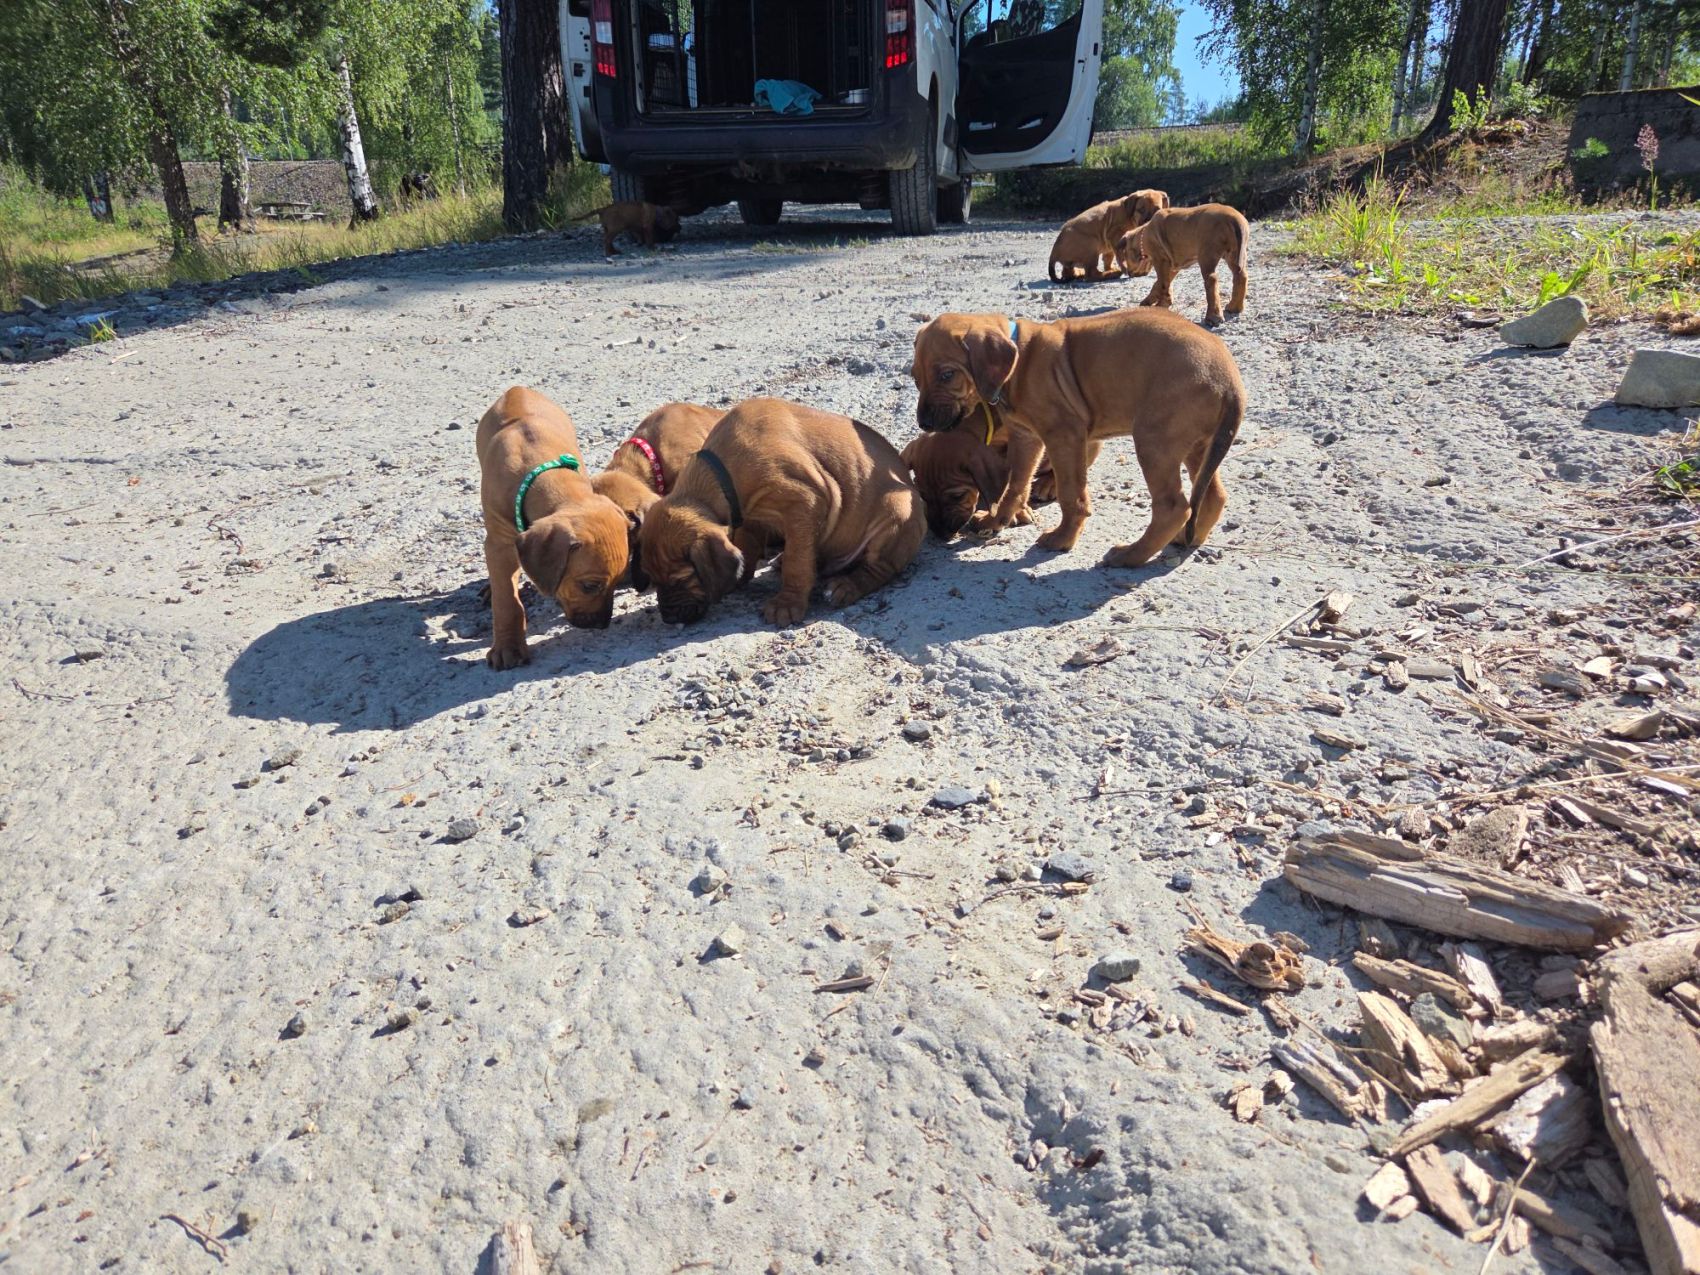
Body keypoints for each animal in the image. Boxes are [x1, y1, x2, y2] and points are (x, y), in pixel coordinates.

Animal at [476, 386, 638, 668]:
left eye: (619, 581)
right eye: (589, 586)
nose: (601, 624)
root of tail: (516, 389)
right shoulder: (498, 544)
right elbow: (506, 599)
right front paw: (508, 647)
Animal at [639, 398, 925, 626]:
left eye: (680, 578)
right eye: (653, 578)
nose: (668, 618)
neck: (721, 470)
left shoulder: (805, 502)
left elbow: (797, 562)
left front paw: (787, 604)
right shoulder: (749, 514)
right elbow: (748, 545)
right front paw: (740, 576)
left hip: (896, 511)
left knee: (880, 568)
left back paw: (847, 585)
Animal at [899, 403, 1060, 540]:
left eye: (958, 496)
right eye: (923, 495)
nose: (941, 533)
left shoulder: (1024, 440)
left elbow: (1015, 483)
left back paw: (1048, 484)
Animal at [1115, 202, 1250, 326]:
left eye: (1125, 255)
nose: (1129, 273)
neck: (1144, 235)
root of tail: (1234, 219)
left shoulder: (1160, 260)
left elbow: (1162, 283)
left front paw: (1161, 304)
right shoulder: (1173, 266)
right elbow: (1160, 283)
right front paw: (1149, 301)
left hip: (1207, 255)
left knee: (1211, 280)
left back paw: (1213, 317)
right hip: (1234, 254)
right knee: (1241, 276)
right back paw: (1234, 307)